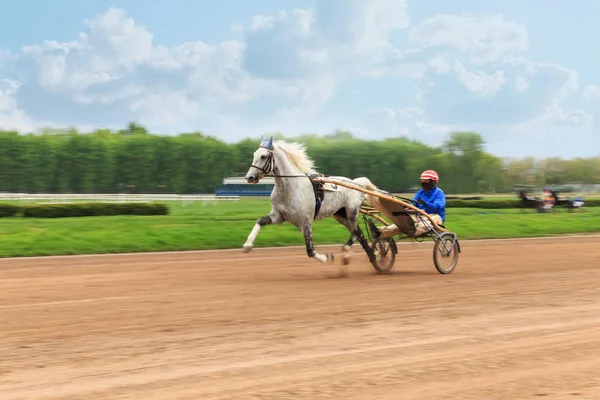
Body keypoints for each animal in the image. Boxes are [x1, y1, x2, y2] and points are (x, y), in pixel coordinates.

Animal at [243, 135, 376, 266]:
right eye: (254, 154)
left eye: (263, 156)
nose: (249, 177)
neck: (290, 188)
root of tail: (356, 183)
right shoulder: (278, 216)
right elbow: (260, 221)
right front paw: (247, 245)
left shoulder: (305, 222)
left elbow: (310, 250)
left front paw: (327, 258)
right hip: (341, 216)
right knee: (360, 234)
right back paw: (372, 259)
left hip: (352, 212)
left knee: (356, 232)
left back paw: (348, 252)